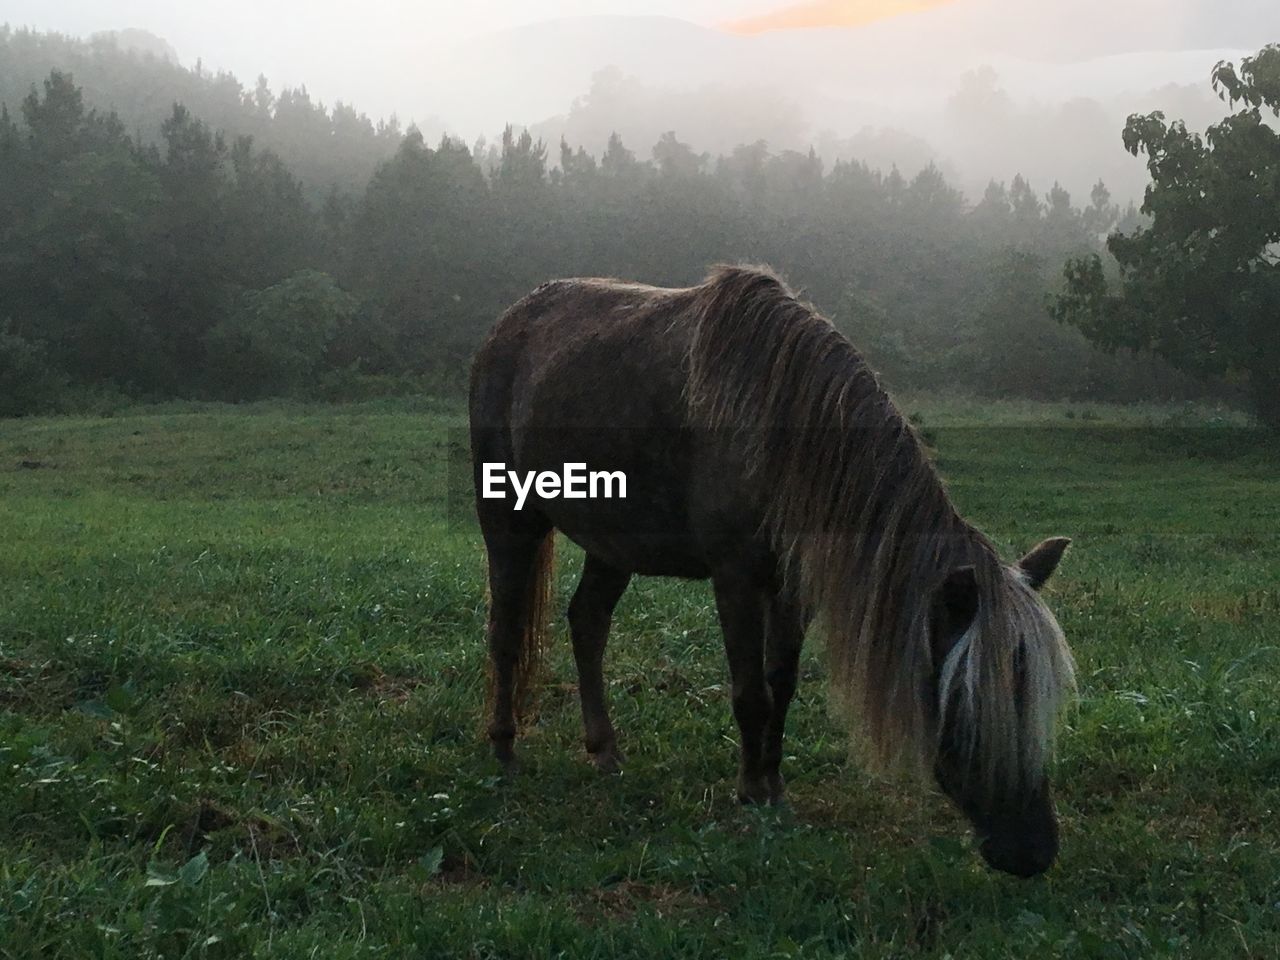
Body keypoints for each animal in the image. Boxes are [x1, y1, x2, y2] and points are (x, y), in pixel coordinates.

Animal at [465, 263, 1075, 880]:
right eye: (971, 700)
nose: (1033, 851)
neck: (781, 434)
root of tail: (507, 325)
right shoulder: (735, 577)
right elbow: (750, 690)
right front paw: (750, 790)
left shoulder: (792, 585)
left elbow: (781, 683)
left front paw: (773, 785)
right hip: (509, 517)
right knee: (506, 629)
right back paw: (504, 746)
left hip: (614, 542)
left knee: (587, 622)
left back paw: (604, 750)